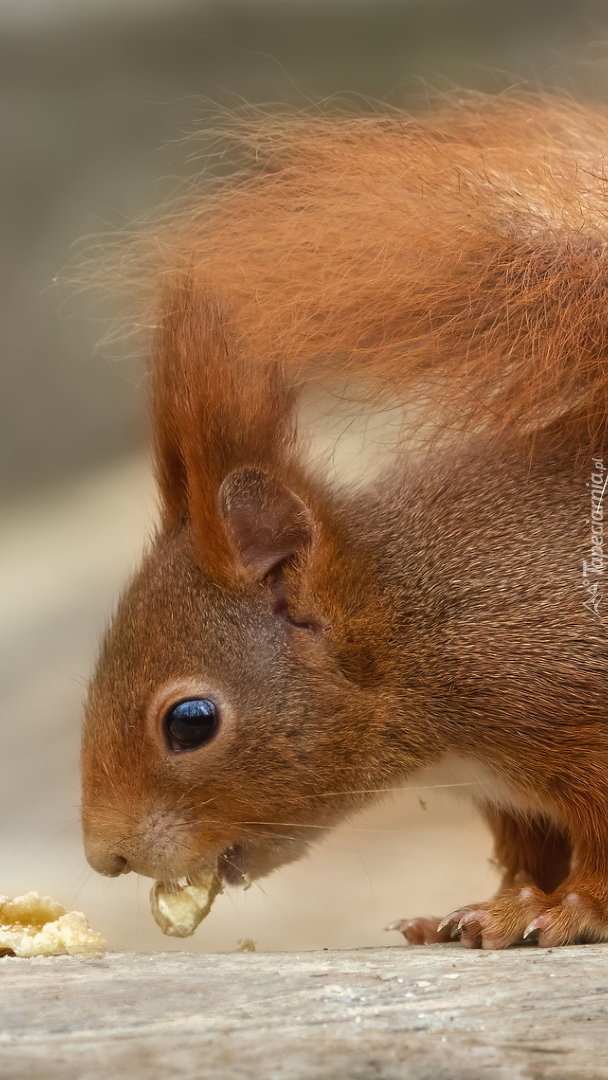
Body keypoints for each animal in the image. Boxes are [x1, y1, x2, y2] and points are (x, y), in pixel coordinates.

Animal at [82, 97, 608, 950]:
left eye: (191, 722)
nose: (107, 857)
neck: (413, 627)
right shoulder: (509, 794)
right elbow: (527, 849)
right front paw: (490, 906)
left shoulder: (572, 708)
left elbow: (599, 849)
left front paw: (568, 909)